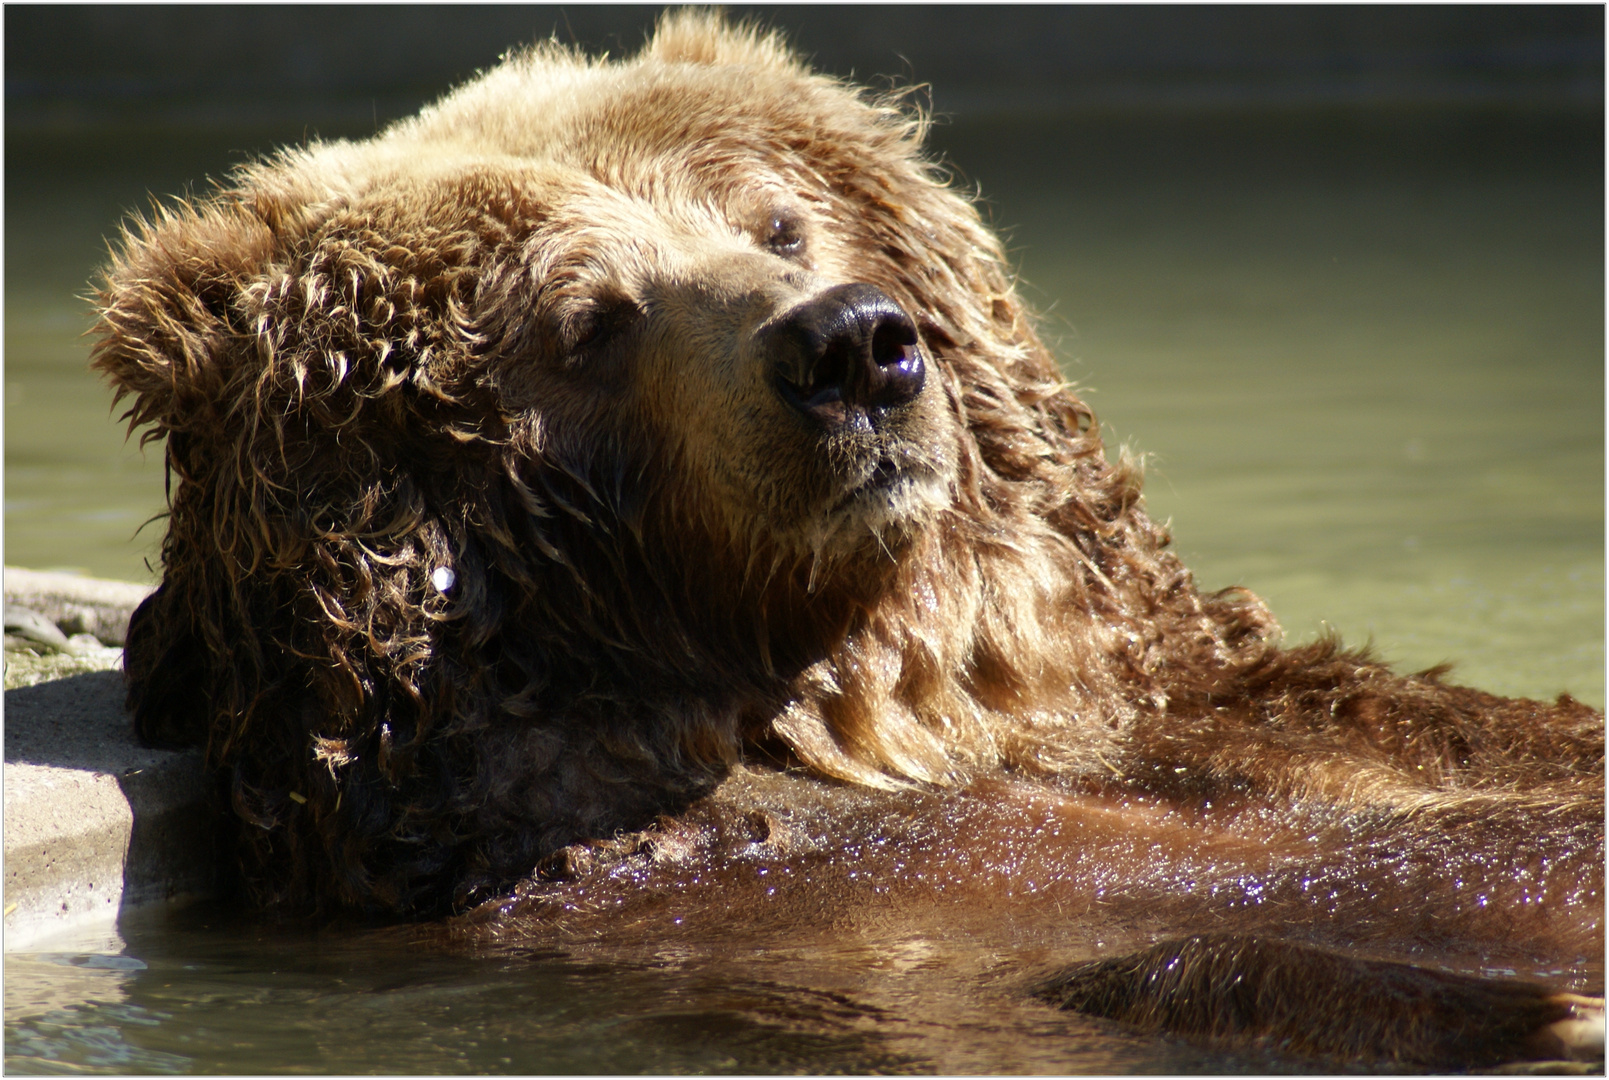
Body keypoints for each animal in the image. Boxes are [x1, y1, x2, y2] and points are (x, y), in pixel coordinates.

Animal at [97, 10, 1596, 1075]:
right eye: (587, 318)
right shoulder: (691, 900)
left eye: (776, 220)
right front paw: (1543, 1014)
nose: (852, 346)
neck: (894, 711)